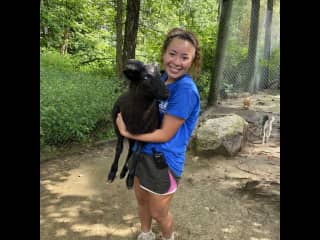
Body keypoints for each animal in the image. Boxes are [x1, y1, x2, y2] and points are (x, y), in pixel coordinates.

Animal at [106, 59, 169, 188]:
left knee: (132, 150)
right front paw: (112, 173)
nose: (166, 93)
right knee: (129, 148)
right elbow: (119, 149)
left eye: (160, 75)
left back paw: (125, 171)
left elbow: (137, 154)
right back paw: (122, 171)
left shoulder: (144, 135)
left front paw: (130, 179)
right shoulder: (118, 128)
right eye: (145, 77)